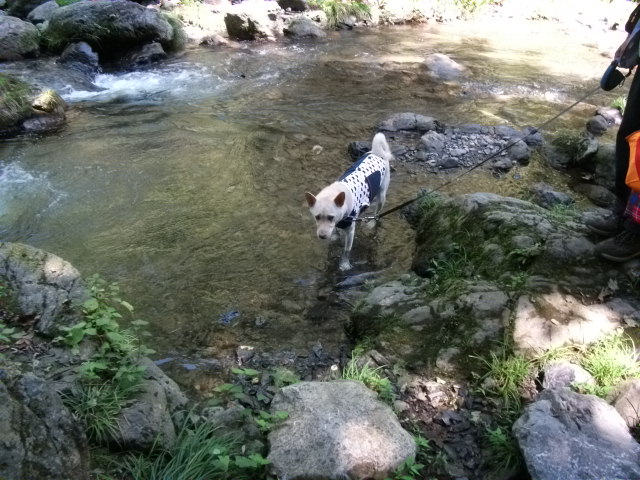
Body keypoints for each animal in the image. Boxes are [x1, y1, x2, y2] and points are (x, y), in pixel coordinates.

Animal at [305, 132, 392, 271]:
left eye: (330, 217)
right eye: (317, 217)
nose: (322, 236)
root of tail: (376, 153)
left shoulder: (350, 231)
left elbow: (346, 251)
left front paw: (344, 264)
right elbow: (335, 232)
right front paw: (334, 236)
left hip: (382, 195)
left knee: (377, 212)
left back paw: (372, 222)